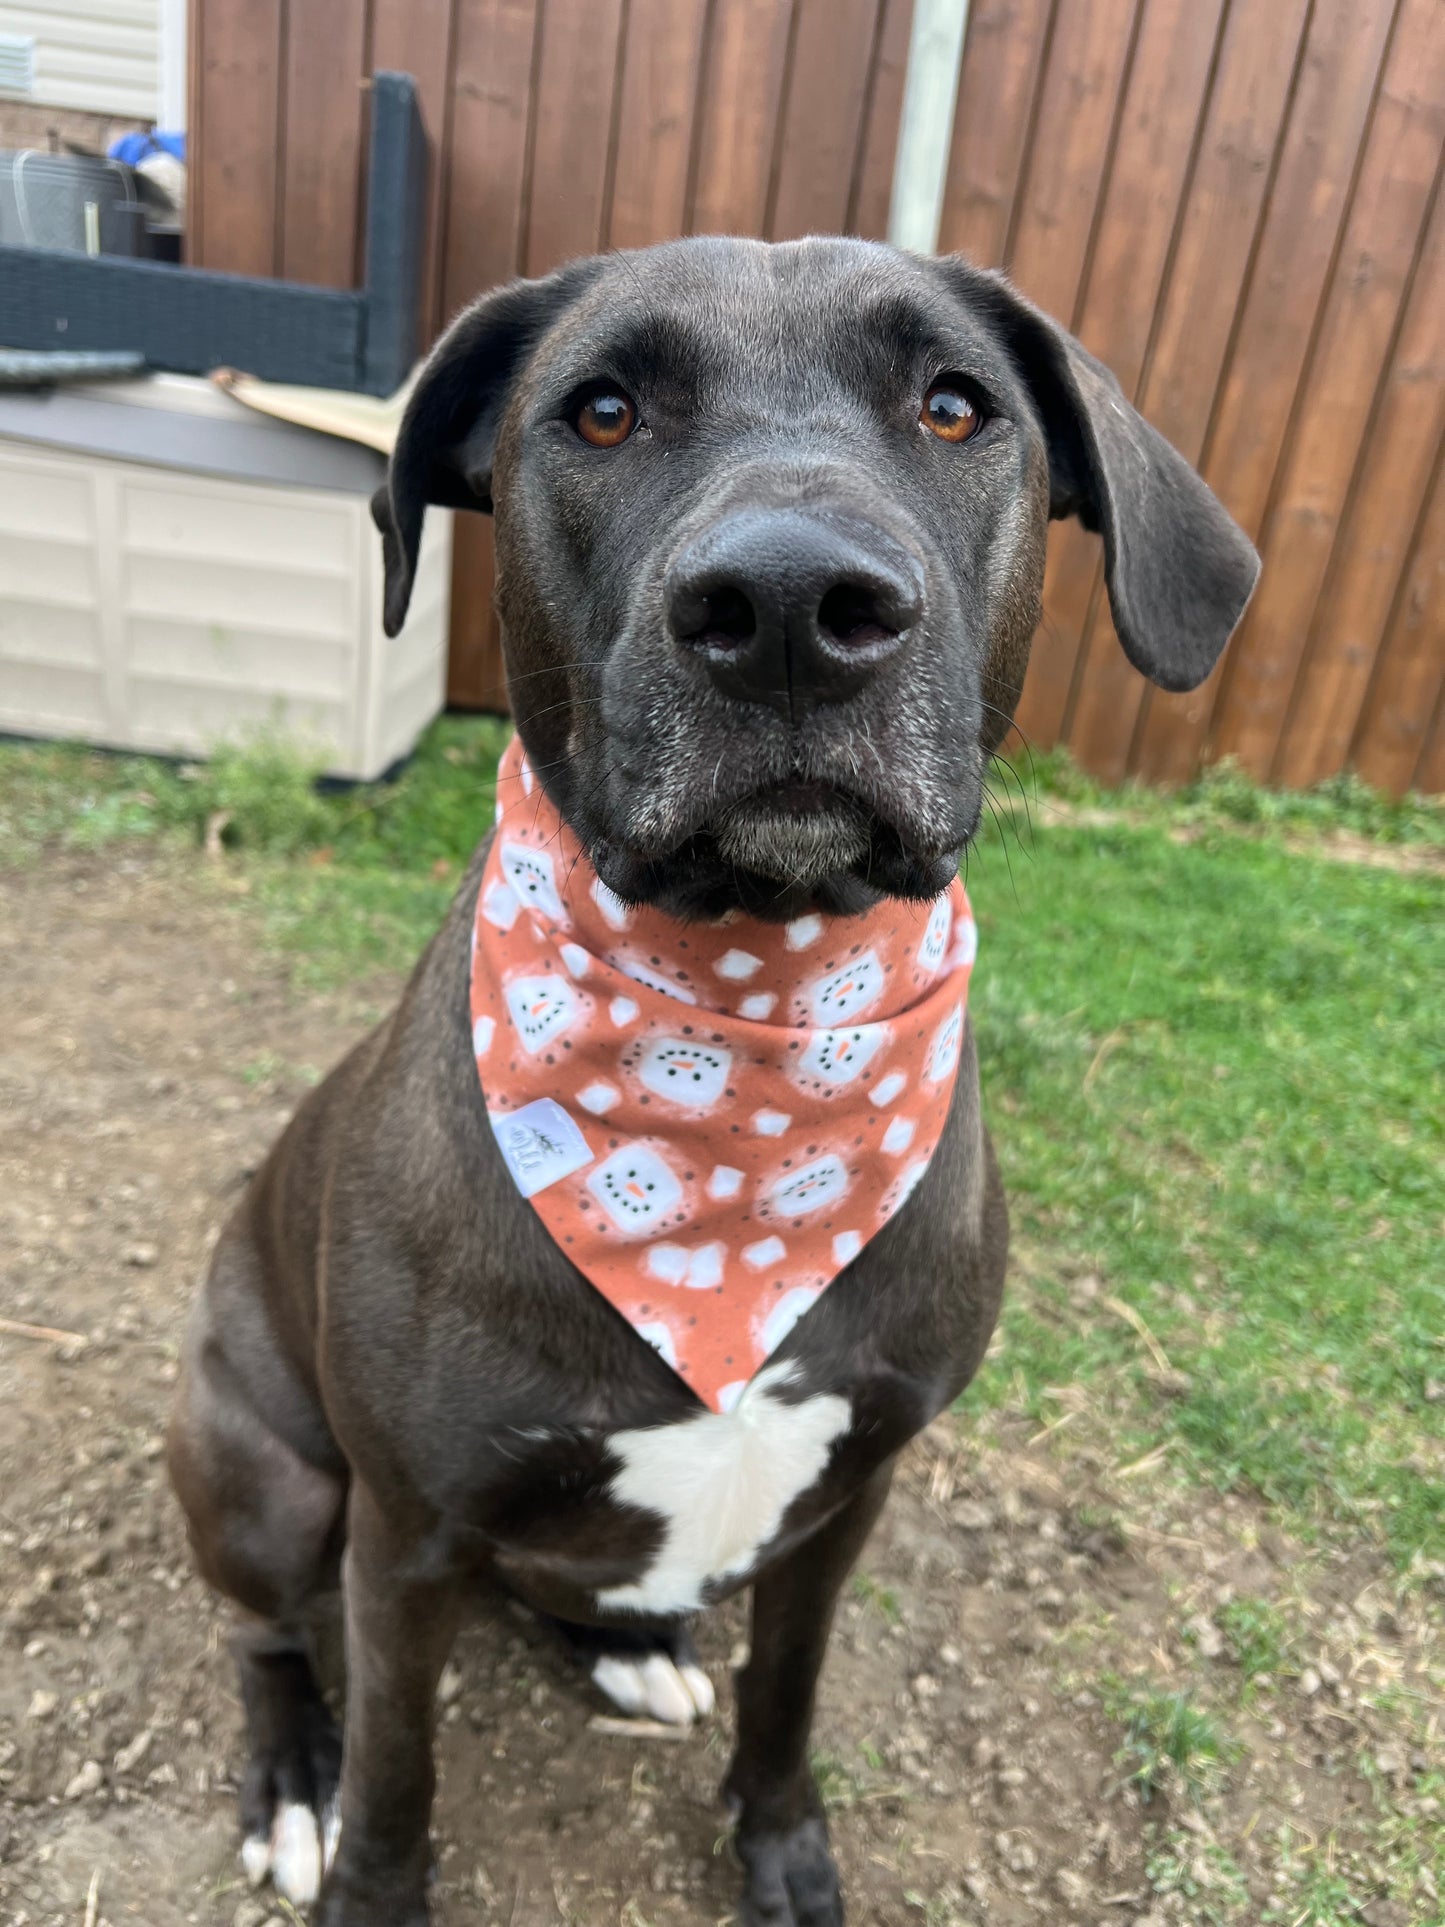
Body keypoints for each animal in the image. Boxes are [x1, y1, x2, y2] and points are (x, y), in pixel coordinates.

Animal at [166, 240, 1256, 1927]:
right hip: (267, 1475)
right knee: (269, 1632)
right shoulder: (404, 1534)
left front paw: (782, 1846)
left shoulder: (846, 1496)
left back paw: (630, 1645)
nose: (794, 604)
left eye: (955, 405)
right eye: (602, 409)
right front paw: (363, 1864)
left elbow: (785, 1694)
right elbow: (400, 1774)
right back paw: (292, 1774)